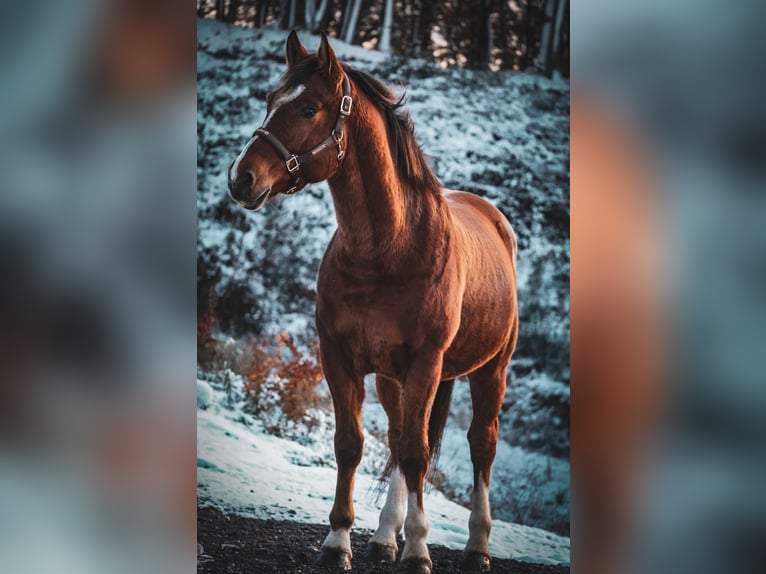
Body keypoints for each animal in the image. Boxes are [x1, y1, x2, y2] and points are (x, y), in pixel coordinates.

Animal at [225, 32, 520, 574]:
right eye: (270, 99)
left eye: (308, 107)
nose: (241, 178)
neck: (390, 247)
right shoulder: (339, 357)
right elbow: (352, 445)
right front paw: (338, 542)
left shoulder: (426, 363)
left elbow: (418, 454)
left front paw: (419, 552)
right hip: (391, 379)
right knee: (398, 437)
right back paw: (384, 538)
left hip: (492, 369)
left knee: (479, 447)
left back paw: (477, 547)